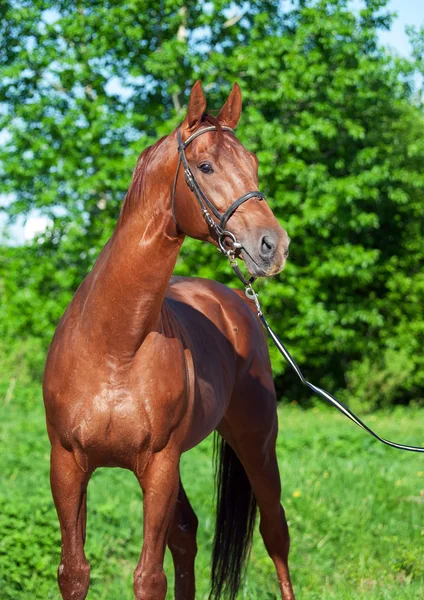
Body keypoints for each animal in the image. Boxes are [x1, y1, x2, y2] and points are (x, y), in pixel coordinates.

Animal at [44, 81, 294, 600]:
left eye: (254, 163)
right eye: (205, 166)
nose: (273, 245)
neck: (115, 347)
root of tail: (234, 302)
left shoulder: (158, 466)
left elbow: (149, 578)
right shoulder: (67, 465)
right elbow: (74, 572)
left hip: (257, 445)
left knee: (275, 534)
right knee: (187, 534)